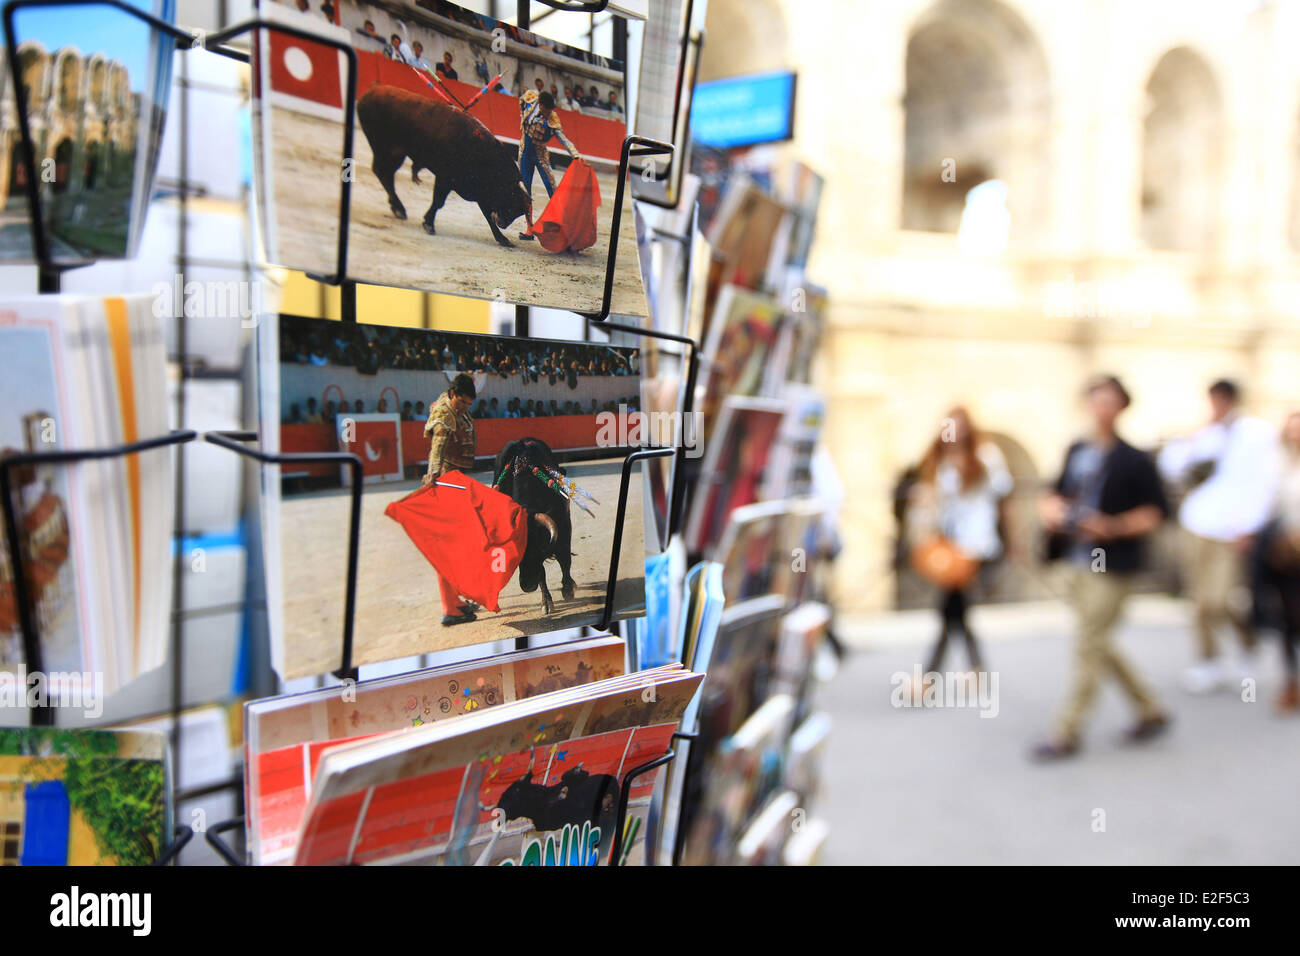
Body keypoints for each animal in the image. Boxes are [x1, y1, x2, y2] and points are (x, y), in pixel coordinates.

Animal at [353, 83, 530, 247]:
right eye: (510, 200)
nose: (503, 223)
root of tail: (373, 90)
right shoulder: (445, 178)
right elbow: (439, 201)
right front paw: (429, 224)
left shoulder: (480, 192)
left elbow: (487, 215)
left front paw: (503, 239)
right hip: (388, 150)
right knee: (383, 173)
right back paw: (399, 208)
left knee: (385, 174)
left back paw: (396, 207)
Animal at [493, 439, 577, 616]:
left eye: (533, 547)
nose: (527, 585)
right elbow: (542, 574)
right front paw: (546, 602)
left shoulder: (564, 528)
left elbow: (565, 559)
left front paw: (567, 589)